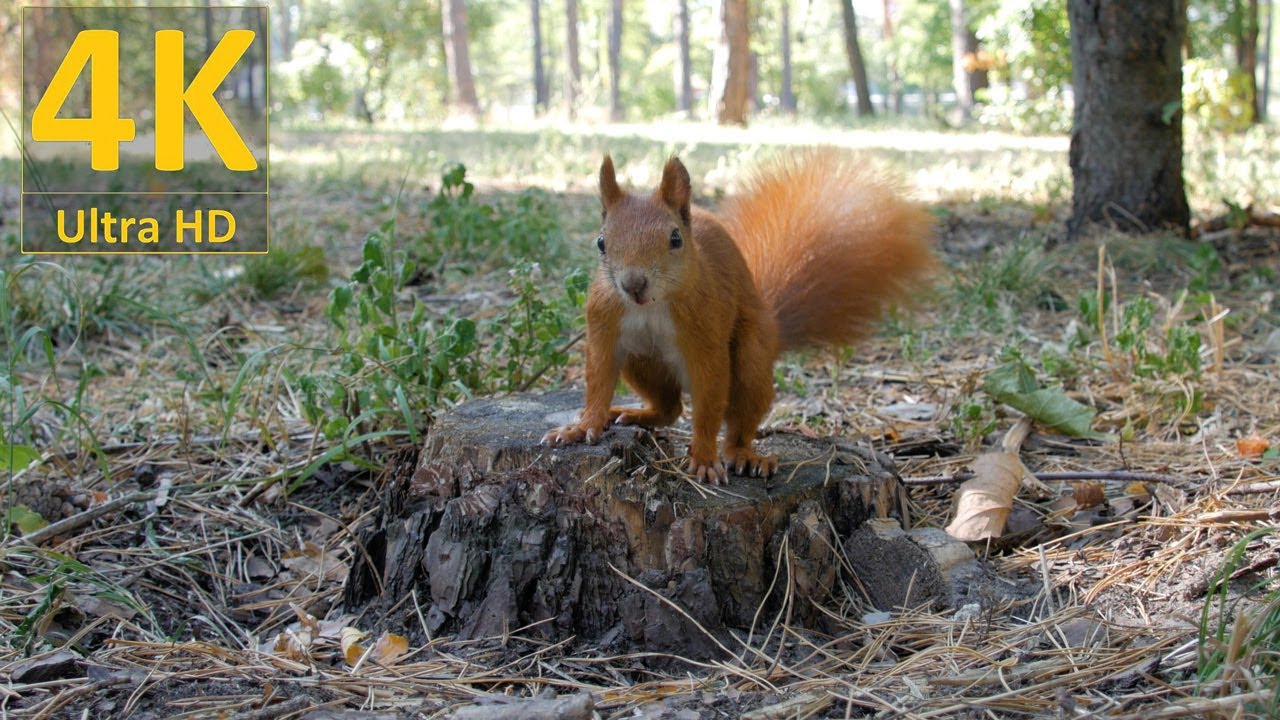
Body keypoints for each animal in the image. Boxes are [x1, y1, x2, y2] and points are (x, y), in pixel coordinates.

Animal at [542, 150, 936, 484]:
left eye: (675, 239)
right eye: (601, 243)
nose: (633, 284)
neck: (650, 307)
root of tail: (774, 328)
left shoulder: (707, 338)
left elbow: (709, 403)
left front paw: (704, 457)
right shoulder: (604, 328)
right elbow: (597, 381)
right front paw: (580, 428)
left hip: (751, 359)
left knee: (738, 415)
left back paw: (743, 454)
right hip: (641, 361)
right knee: (670, 407)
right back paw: (636, 414)